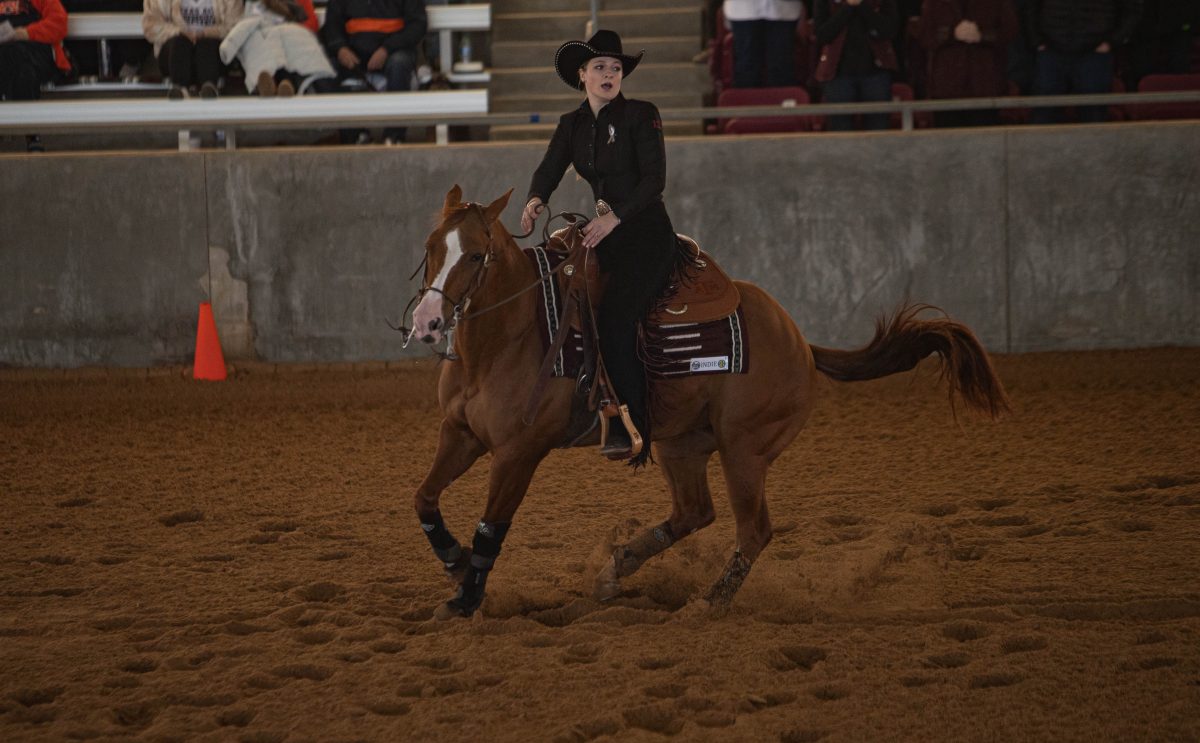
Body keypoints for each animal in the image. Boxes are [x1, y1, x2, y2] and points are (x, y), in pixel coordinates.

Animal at [408, 187, 1008, 624]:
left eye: (477, 255)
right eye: (431, 247)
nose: (428, 322)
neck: (508, 336)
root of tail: (798, 340)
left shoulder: (519, 452)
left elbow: (491, 526)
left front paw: (466, 596)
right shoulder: (459, 434)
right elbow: (425, 500)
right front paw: (455, 564)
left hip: (744, 449)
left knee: (754, 530)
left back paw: (709, 604)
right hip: (682, 444)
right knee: (695, 512)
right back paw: (616, 568)